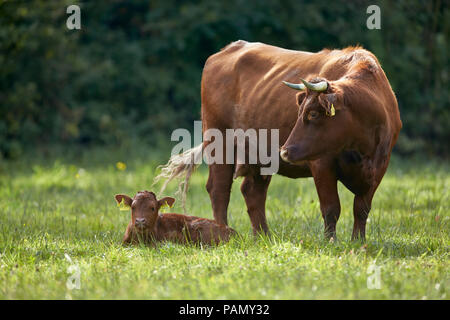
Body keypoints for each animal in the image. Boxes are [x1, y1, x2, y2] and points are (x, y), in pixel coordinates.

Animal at [156, 40, 402, 240]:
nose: (284, 151)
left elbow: (361, 209)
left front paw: (358, 242)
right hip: (219, 142)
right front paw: (331, 241)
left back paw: (263, 236)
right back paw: (222, 232)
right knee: (219, 189)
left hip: (257, 156)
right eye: (300, 112)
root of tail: (228, 50)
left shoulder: (380, 167)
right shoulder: (322, 163)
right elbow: (331, 207)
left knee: (252, 192)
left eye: (313, 114)